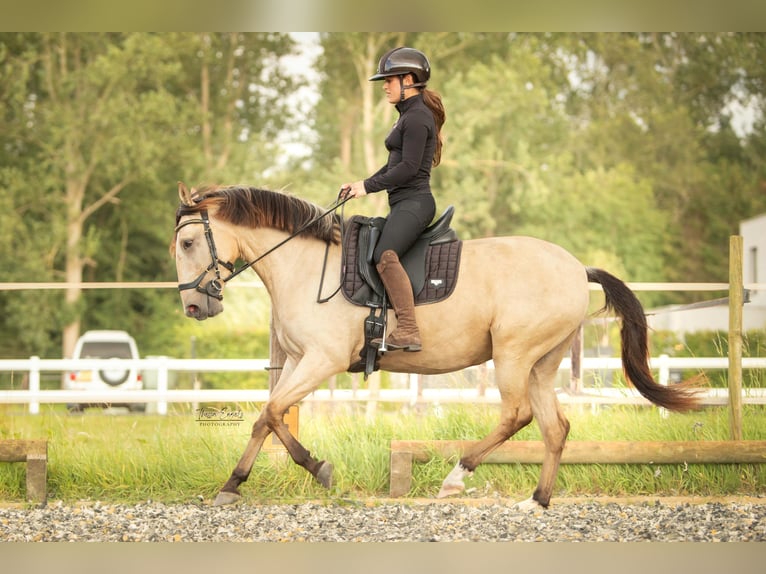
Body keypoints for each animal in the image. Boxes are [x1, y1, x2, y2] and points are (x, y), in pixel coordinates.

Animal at [174, 183, 704, 508]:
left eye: (186, 244)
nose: (196, 308)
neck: (305, 267)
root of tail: (577, 268)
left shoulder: (321, 361)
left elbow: (270, 412)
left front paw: (301, 472)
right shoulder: (299, 362)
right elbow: (270, 416)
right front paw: (248, 481)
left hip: (513, 355)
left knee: (517, 415)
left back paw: (457, 475)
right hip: (541, 363)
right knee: (555, 427)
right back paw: (536, 502)